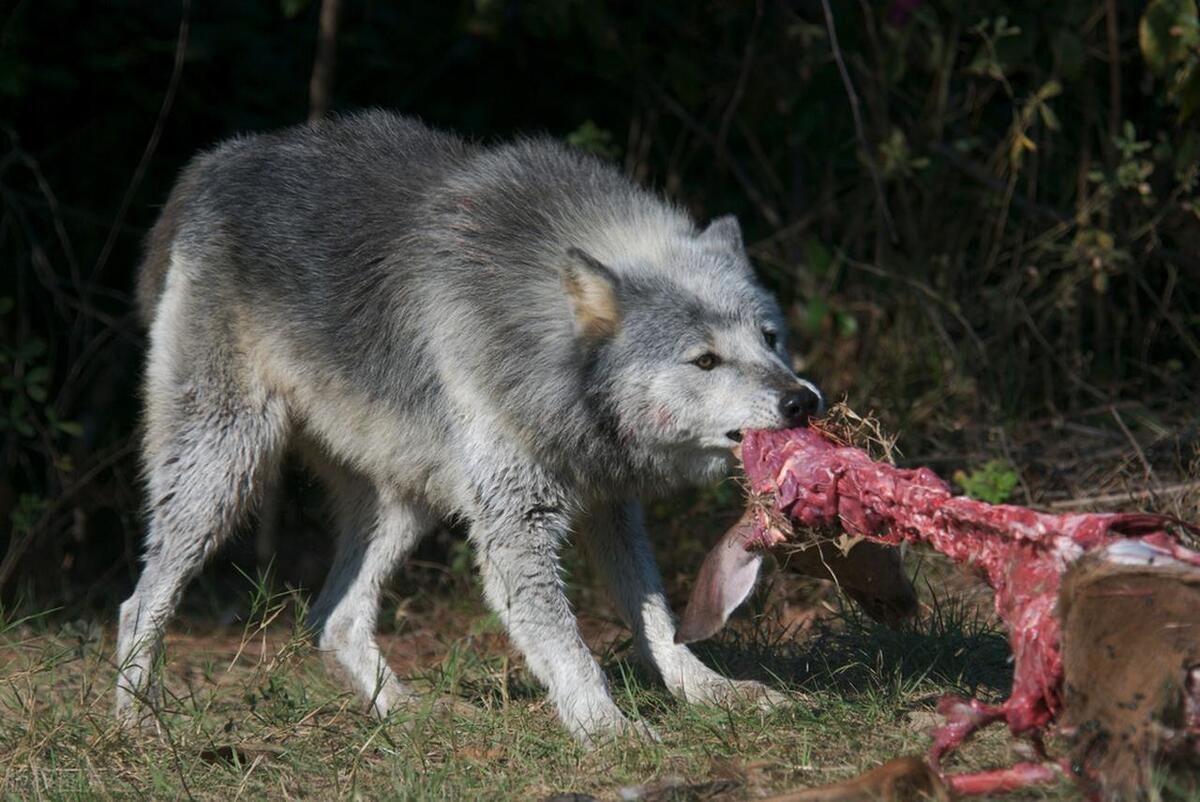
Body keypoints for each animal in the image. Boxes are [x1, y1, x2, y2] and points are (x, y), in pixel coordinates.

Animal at [114, 109, 825, 744]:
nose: (803, 402)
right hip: (223, 474)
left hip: (403, 504)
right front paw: (609, 731)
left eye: (769, 339)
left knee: (331, 620)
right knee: (138, 603)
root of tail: (219, 162)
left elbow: (656, 618)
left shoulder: (609, 504)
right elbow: (570, 647)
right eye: (704, 360)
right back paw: (137, 726)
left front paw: (709, 693)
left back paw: (414, 715)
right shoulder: (517, 526)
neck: (537, 343)